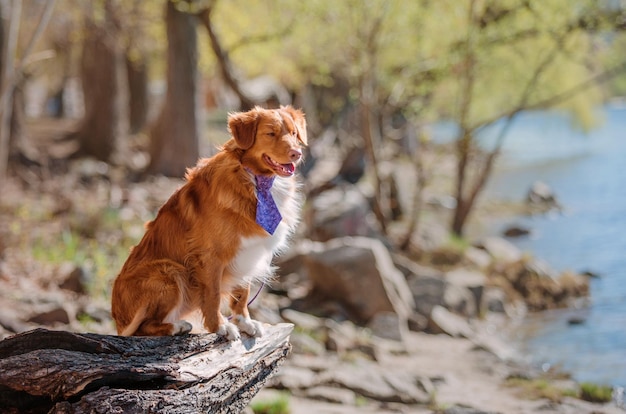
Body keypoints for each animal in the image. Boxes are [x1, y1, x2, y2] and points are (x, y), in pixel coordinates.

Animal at [113, 106, 308, 340]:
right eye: (271, 133)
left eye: (294, 133)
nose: (296, 154)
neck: (257, 181)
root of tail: (118, 319)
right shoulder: (210, 256)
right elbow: (213, 295)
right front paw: (220, 326)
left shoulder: (249, 250)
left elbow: (242, 293)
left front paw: (245, 322)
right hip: (170, 271)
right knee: (143, 328)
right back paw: (176, 326)